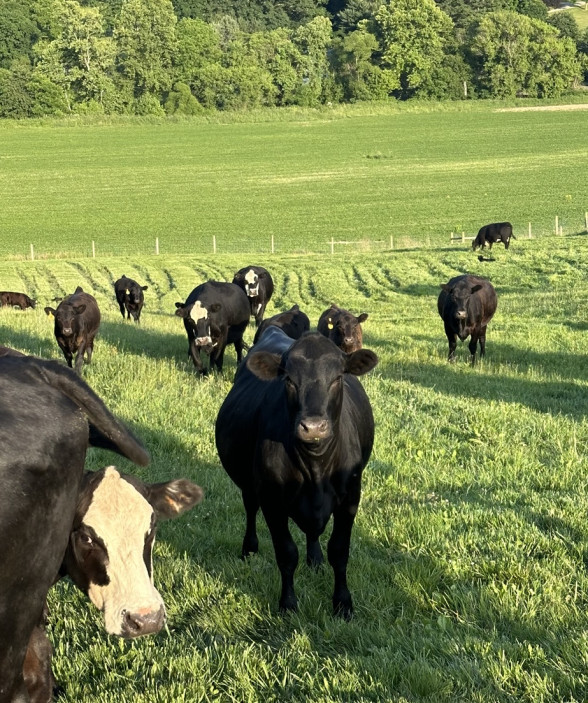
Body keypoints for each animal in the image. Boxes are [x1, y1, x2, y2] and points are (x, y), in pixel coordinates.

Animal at [215, 328, 378, 619]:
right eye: (289, 380)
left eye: (338, 378)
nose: (313, 427)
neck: (315, 468)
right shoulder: (272, 501)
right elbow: (287, 553)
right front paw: (288, 604)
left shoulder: (351, 497)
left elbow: (339, 551)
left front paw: (342, 603)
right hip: (249, 485)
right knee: (250, 508)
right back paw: (249, 549)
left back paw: (315, 559)